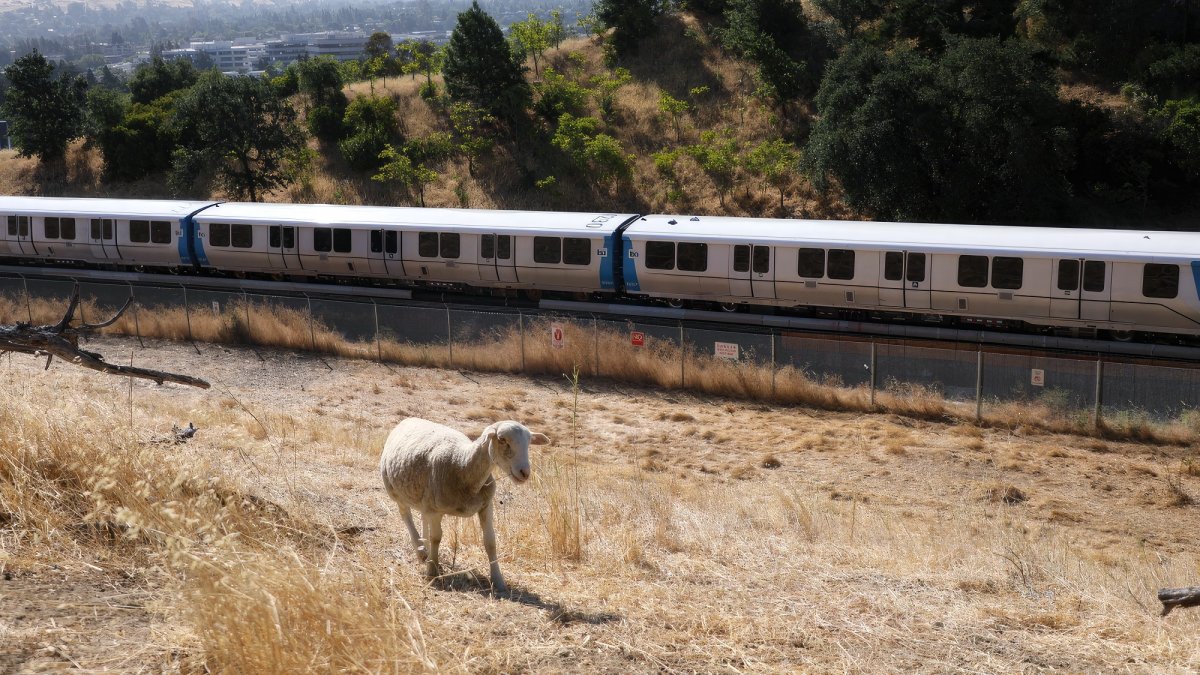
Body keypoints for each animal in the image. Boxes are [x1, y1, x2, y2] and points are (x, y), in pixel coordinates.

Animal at [380, 417, 550, 592]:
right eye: (502, 440)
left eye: (529, 442)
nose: (525, 473)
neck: (463, 465)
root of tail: (408, 419)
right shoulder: (435, 510)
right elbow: (436, 538)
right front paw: (432, 571)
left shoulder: (486, 506)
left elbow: (490, 542)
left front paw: (498, 581)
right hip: (395, 490)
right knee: (406, 516)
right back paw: (421, 551)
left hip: (424, 500)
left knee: (422, 518)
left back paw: (424, 549)